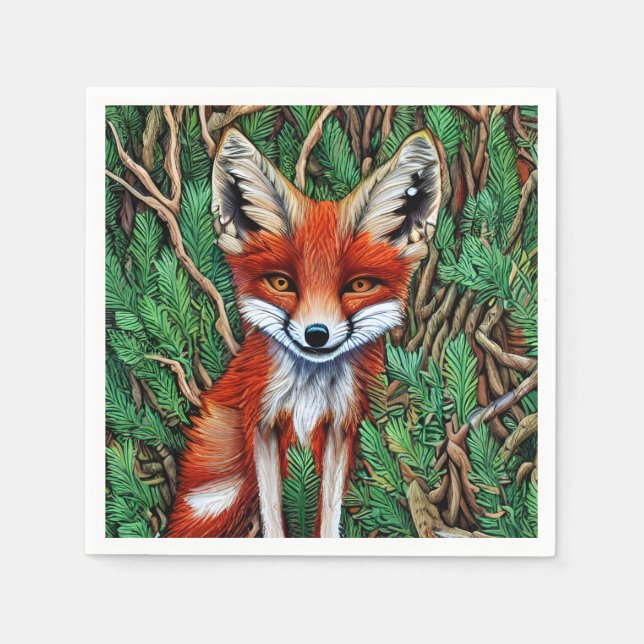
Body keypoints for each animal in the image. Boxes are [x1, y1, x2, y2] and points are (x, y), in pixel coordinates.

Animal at [166, 123, 442, 538]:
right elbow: (272, 513)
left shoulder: (340, 428)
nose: (317, 335)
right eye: (282, 283)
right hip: (217, 493)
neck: (308, 394)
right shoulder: (261, 424)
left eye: (358, 286)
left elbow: (329, 511)